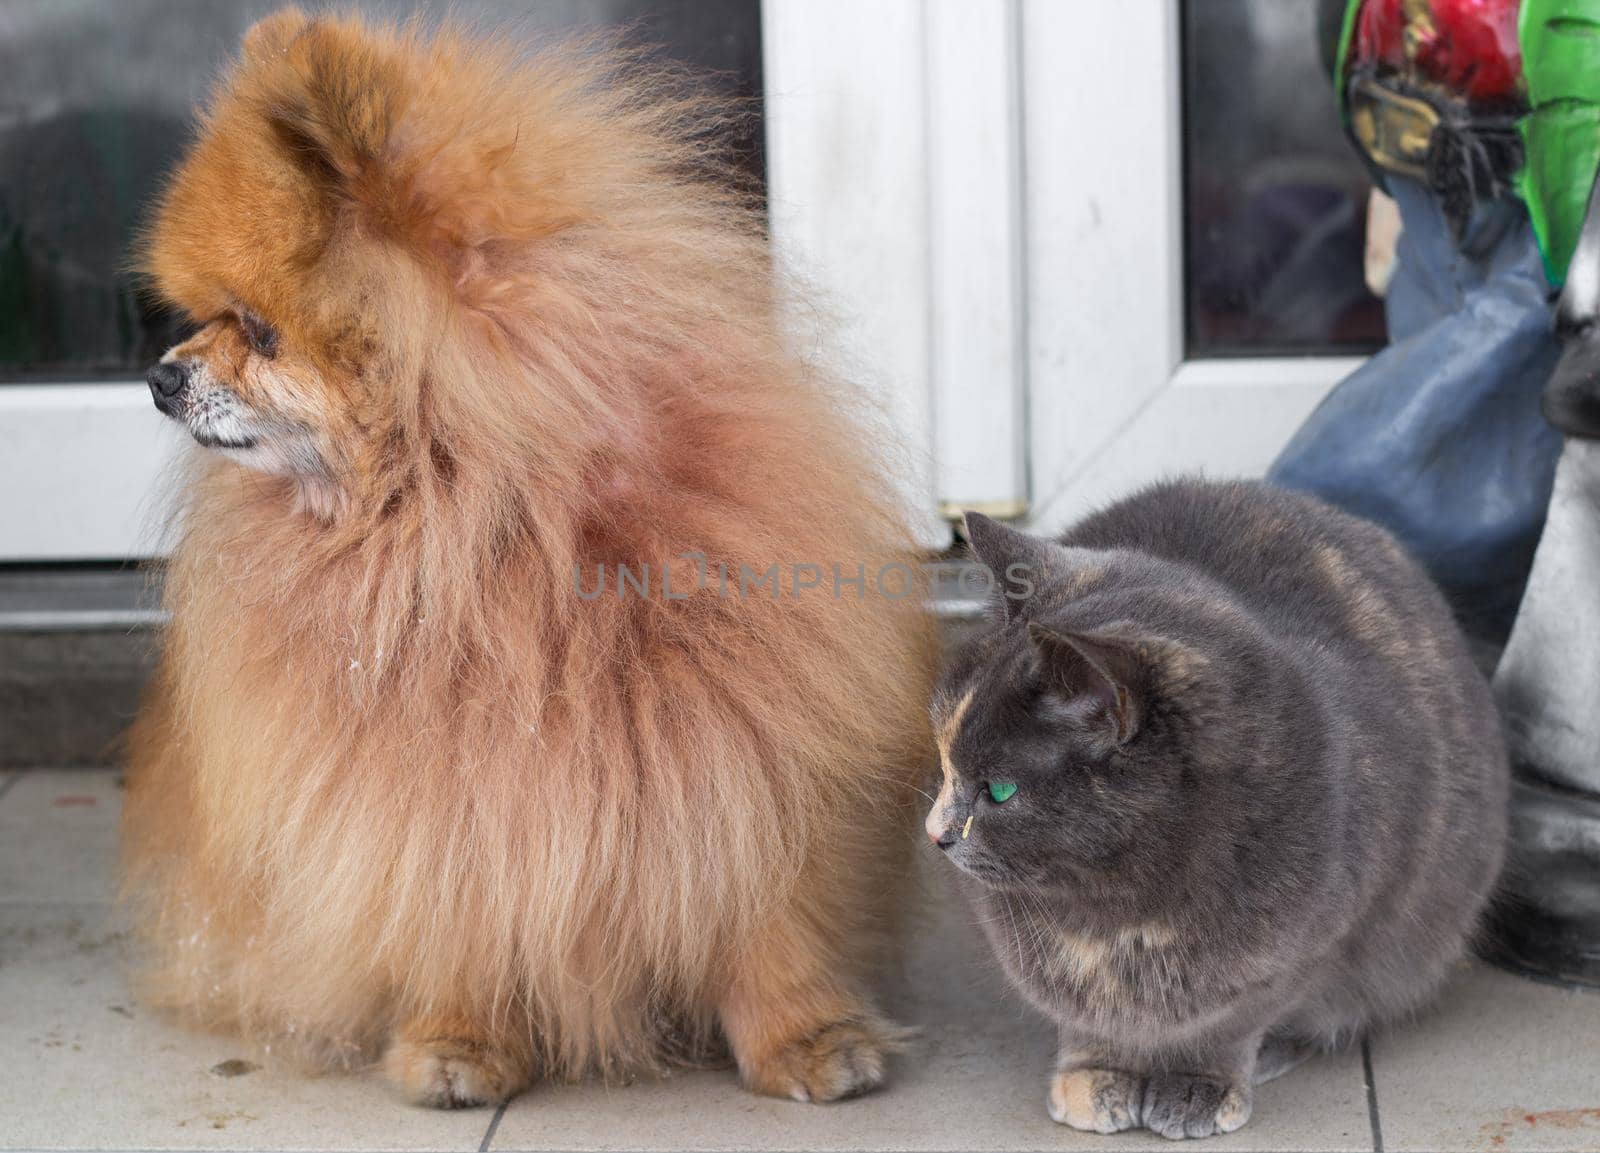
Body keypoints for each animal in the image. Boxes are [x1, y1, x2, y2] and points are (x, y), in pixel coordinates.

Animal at [124, 6, 934, 1106]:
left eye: (257, 329)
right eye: (198, 319)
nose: (161, 376)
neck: (485, 529)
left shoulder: (739, 738)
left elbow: (761, 901)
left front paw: (803, 1033)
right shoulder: (430, 786)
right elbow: (455, 897)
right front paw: (459, 1037)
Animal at [928, 479, 1510, 1138]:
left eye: (1000, 790)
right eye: (944, 761)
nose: (936, 832)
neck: (1122, 911)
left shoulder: (1303, 949)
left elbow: (1226, 1027)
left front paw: (1197, 1086)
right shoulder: (1041, 961)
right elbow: (1088, 1020)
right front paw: (1096, 1076)